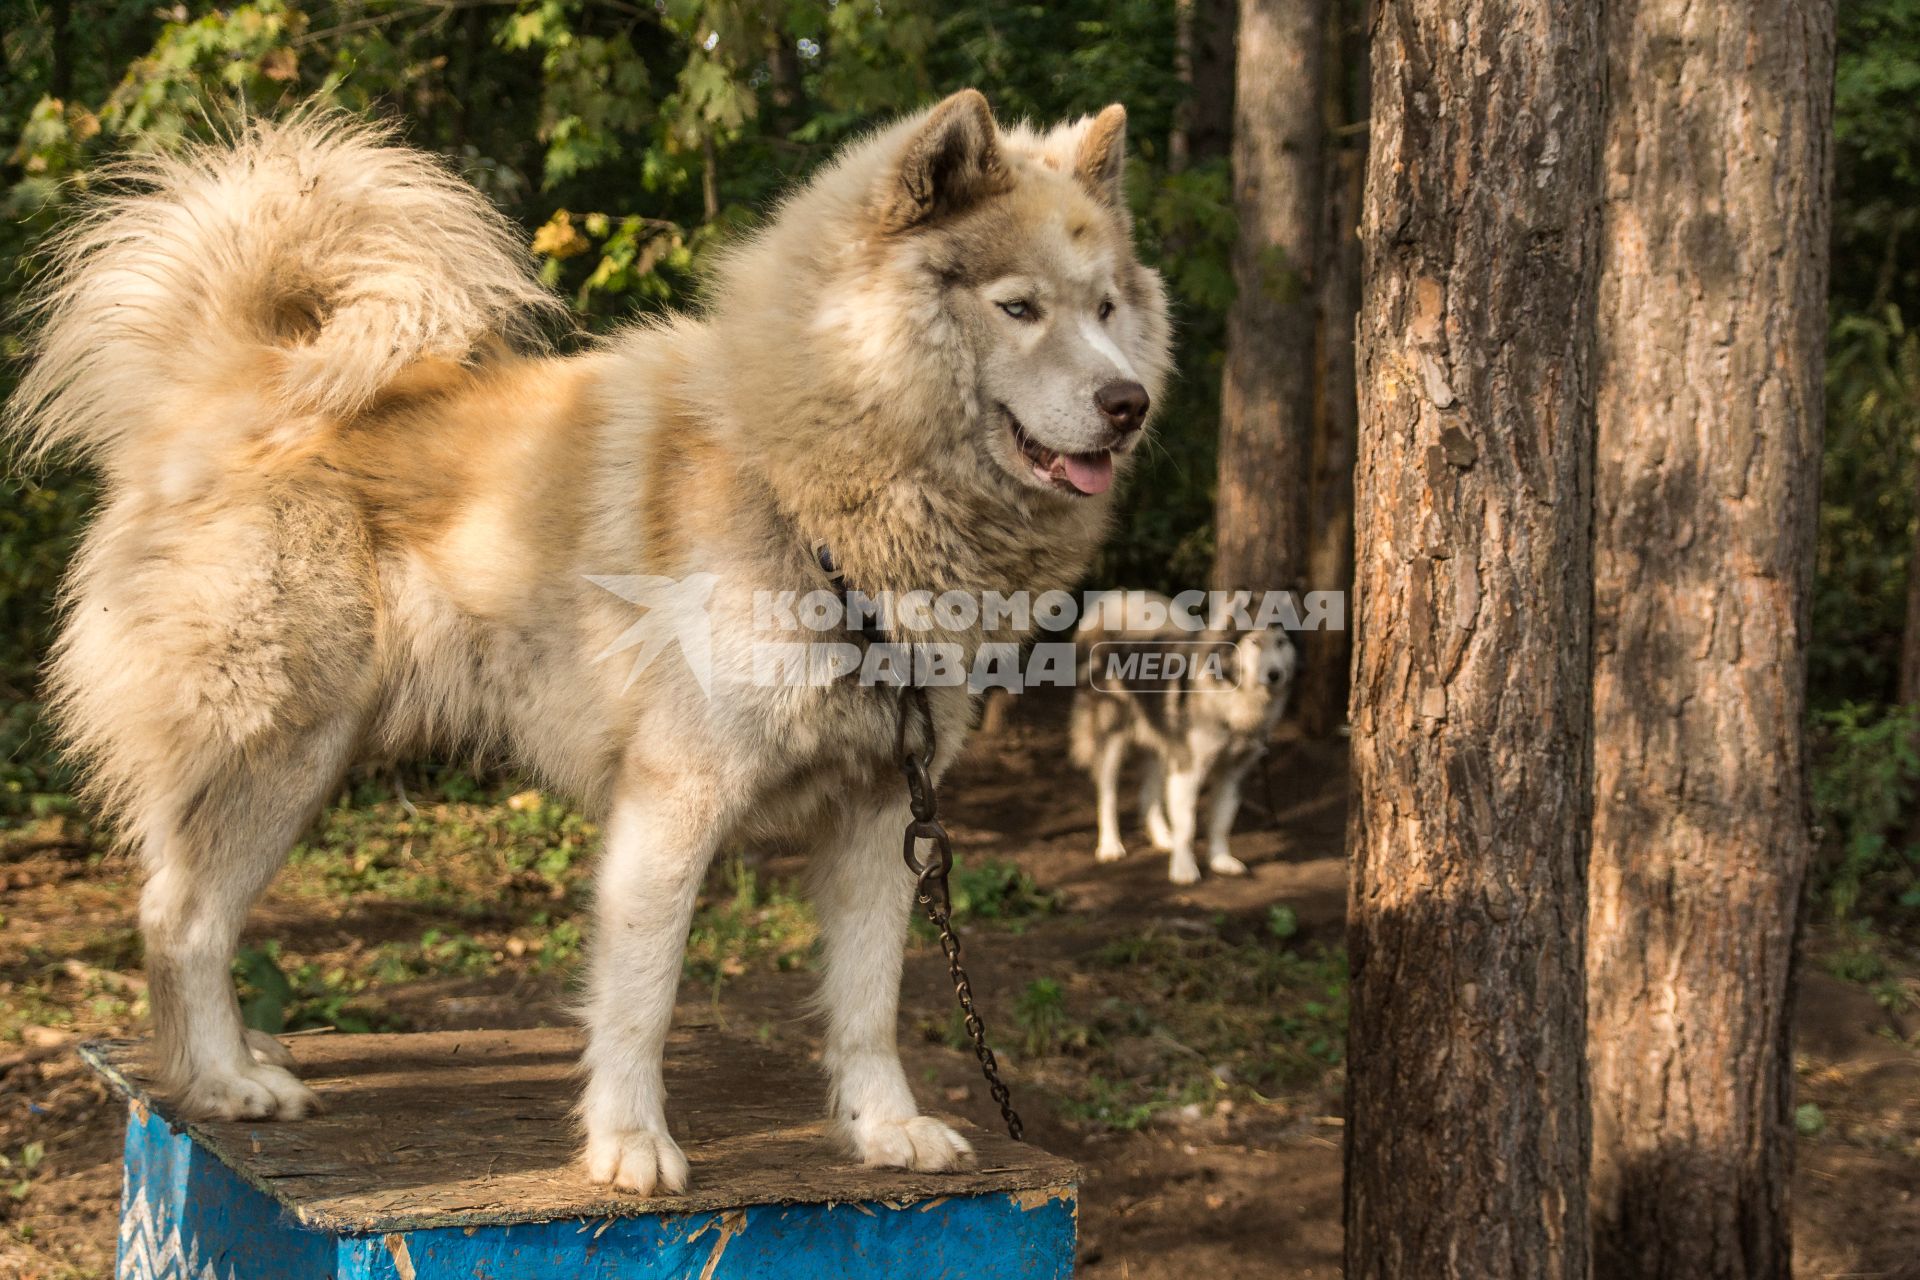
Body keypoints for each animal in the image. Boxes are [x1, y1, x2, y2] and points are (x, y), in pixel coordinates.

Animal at [11, 94, 1167, 1197]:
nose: (1131, 403)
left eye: (1108, 308)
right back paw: (229, 1080)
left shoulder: (886, 805)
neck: (810, 492)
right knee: (183, 914)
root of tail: (235, 380)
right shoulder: (675, 796)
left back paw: (232, 1060)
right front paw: (628, 1143)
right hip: (281, 746)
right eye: (1017, 307)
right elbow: (643, 995)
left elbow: (869, 998)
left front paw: (884, 1128)